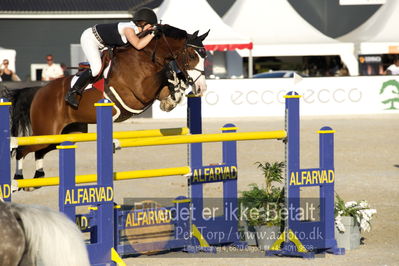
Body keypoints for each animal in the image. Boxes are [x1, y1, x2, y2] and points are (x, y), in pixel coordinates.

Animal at [3, 24, 209, 187]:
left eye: (204, 56)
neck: (146, 56)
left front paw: (174, 95)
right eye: (192, 55)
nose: (201, 87)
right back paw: (18, 179)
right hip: (47, 131)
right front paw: (175, 81)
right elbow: (164, 75)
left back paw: (37, 178)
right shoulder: (139, 92)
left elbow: (168, 86)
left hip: (66, 135)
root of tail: (39, 91)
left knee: (40, 151)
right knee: (21, 149)